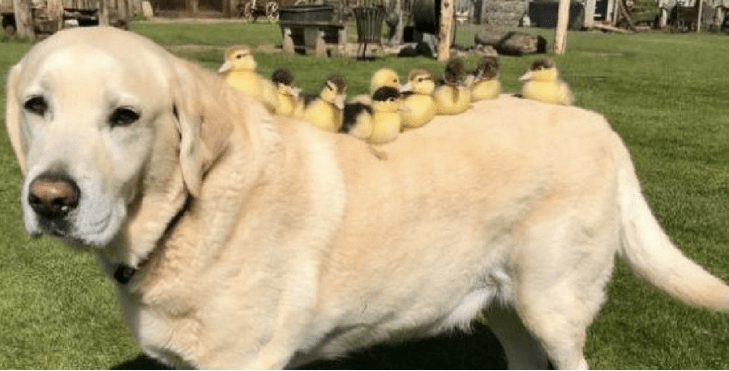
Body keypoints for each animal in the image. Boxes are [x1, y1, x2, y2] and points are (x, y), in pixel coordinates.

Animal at [5, 26, 728, 370]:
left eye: (125, 116)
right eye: (36, 106)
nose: (50, 199)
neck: (187, 214)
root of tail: (599, 124)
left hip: (552, 302)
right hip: (505, 303)